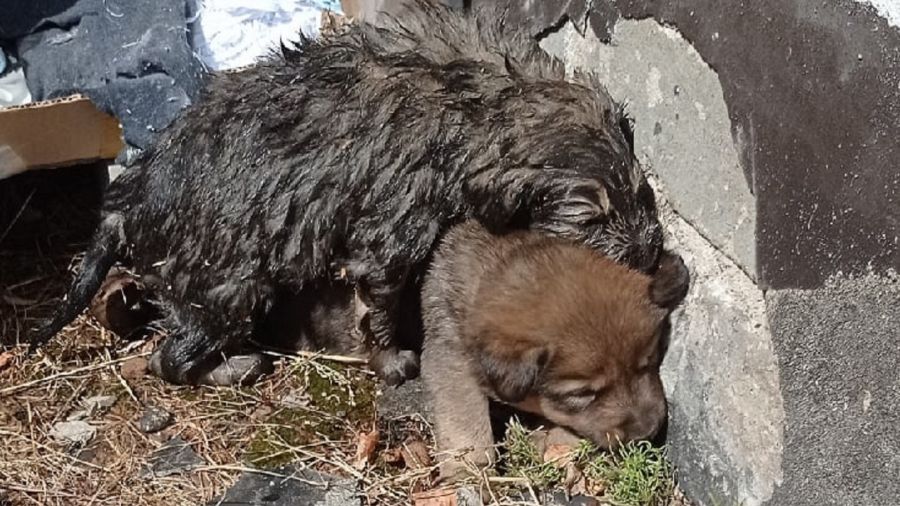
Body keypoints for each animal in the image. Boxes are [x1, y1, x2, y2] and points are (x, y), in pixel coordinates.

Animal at [29, 0, 660, 388]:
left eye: (641, 192)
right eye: (589, 219)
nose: (651, 255)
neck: (483, 100)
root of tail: (127, 201)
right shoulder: (390, 235)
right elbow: (378, 308)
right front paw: (392, 360)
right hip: (225, 288)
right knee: (168, 358)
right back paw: (236, 367)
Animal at [422, 223, 688, 480]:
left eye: (648, 362)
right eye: (581, 393)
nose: (648, 431)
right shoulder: (451, 354)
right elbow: (464, 417)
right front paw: (467, 471)